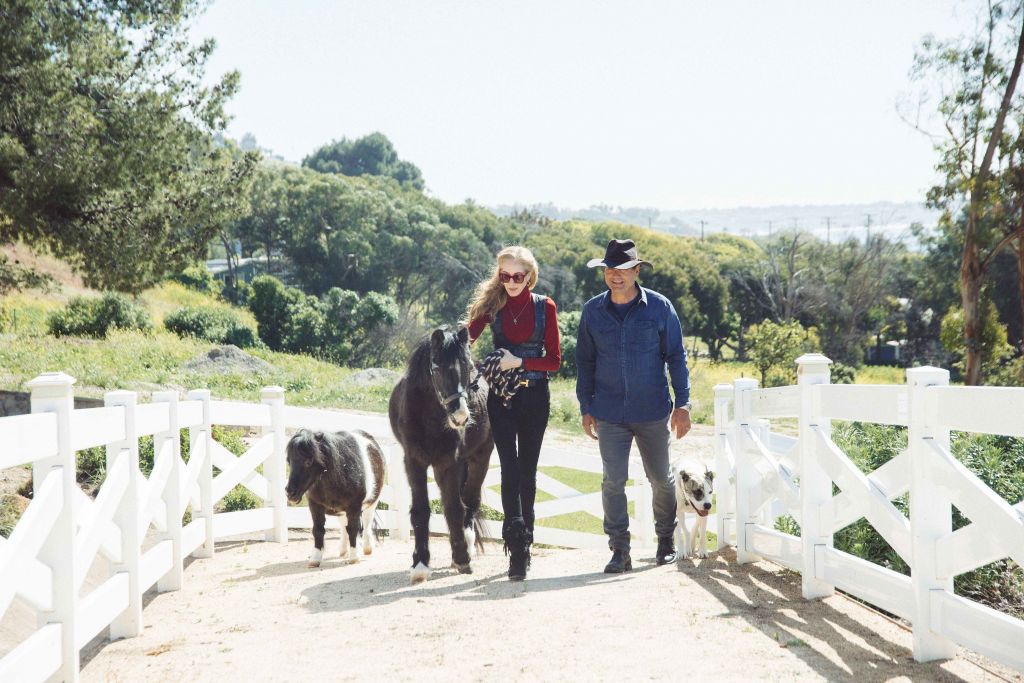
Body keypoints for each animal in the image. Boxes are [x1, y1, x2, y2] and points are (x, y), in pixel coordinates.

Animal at [387, 325, 491, 581]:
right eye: (437, 368)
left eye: (468, 367)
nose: (461, 417)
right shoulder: (413, 461)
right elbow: (421, 510)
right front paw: (420, 564)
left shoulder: (447, 463)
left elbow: (454, 508)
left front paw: (462, 558)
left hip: (480, 457)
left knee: (470, 501)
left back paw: (467, 544)